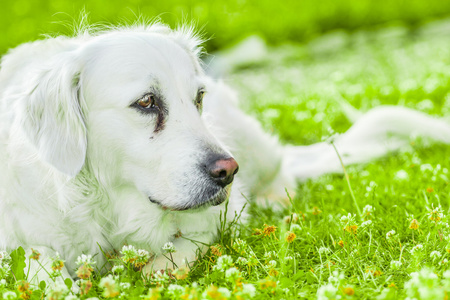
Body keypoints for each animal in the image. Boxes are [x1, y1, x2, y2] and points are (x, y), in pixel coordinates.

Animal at [0, 21, 450, 284]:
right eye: (146, 102)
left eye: (198, 97)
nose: (228, 172)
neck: (109, 207)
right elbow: (39, 265)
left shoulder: (219, 215)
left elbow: (183, 248)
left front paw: (152, 268)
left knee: (283, 171)